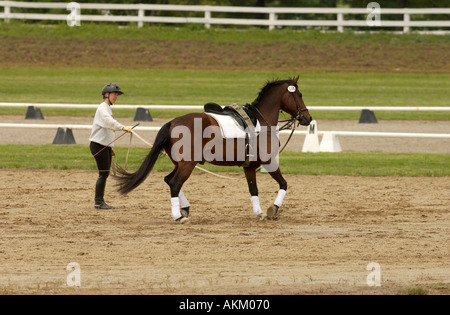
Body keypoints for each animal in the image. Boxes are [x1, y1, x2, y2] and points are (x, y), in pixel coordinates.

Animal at [115, 76, 312, 223]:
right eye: (300, 94)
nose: (308, 118)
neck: (260, 121)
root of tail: (172, 122)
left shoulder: (249, 166)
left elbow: (253, 190)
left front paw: (259, 212)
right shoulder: (269, 162)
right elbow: (284, 184)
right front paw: (274, 209)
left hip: (180, 163)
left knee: (169, 180)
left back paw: (184, 208)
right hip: (188, 164)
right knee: (174, 183)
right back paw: (178, 215)